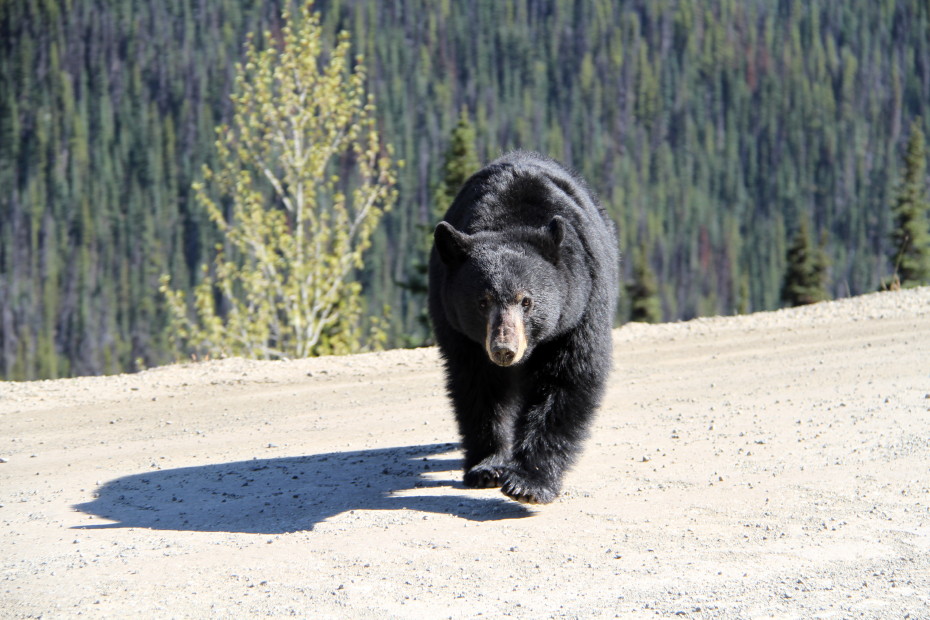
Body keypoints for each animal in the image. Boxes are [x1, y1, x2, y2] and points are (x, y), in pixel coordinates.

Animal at [428, 151, 619, 504]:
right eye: (482, 301)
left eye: (526, 301)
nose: (504, 349)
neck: (506, 221)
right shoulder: (457, 327)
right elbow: (478, 386)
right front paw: (487, 466)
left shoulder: (580, 308)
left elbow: (567, 379)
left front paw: (528, 482)